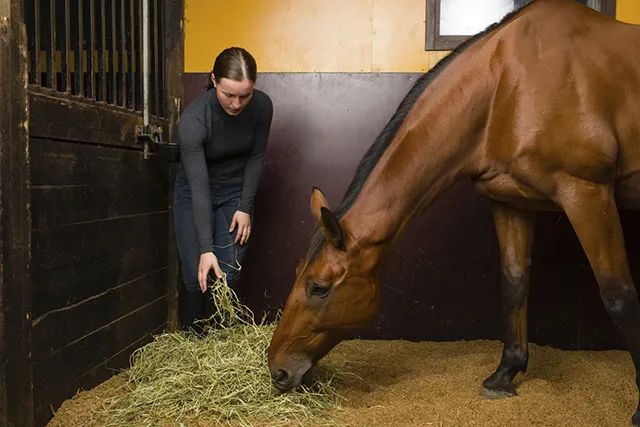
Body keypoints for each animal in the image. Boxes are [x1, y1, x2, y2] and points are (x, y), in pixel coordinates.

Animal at [266, 0, 640, 424]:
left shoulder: (587, 193)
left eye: (318, 287)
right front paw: (505, 374)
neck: (508, 86)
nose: (277, 369)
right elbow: (514, 282)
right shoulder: (510, 201)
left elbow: (619, 296)